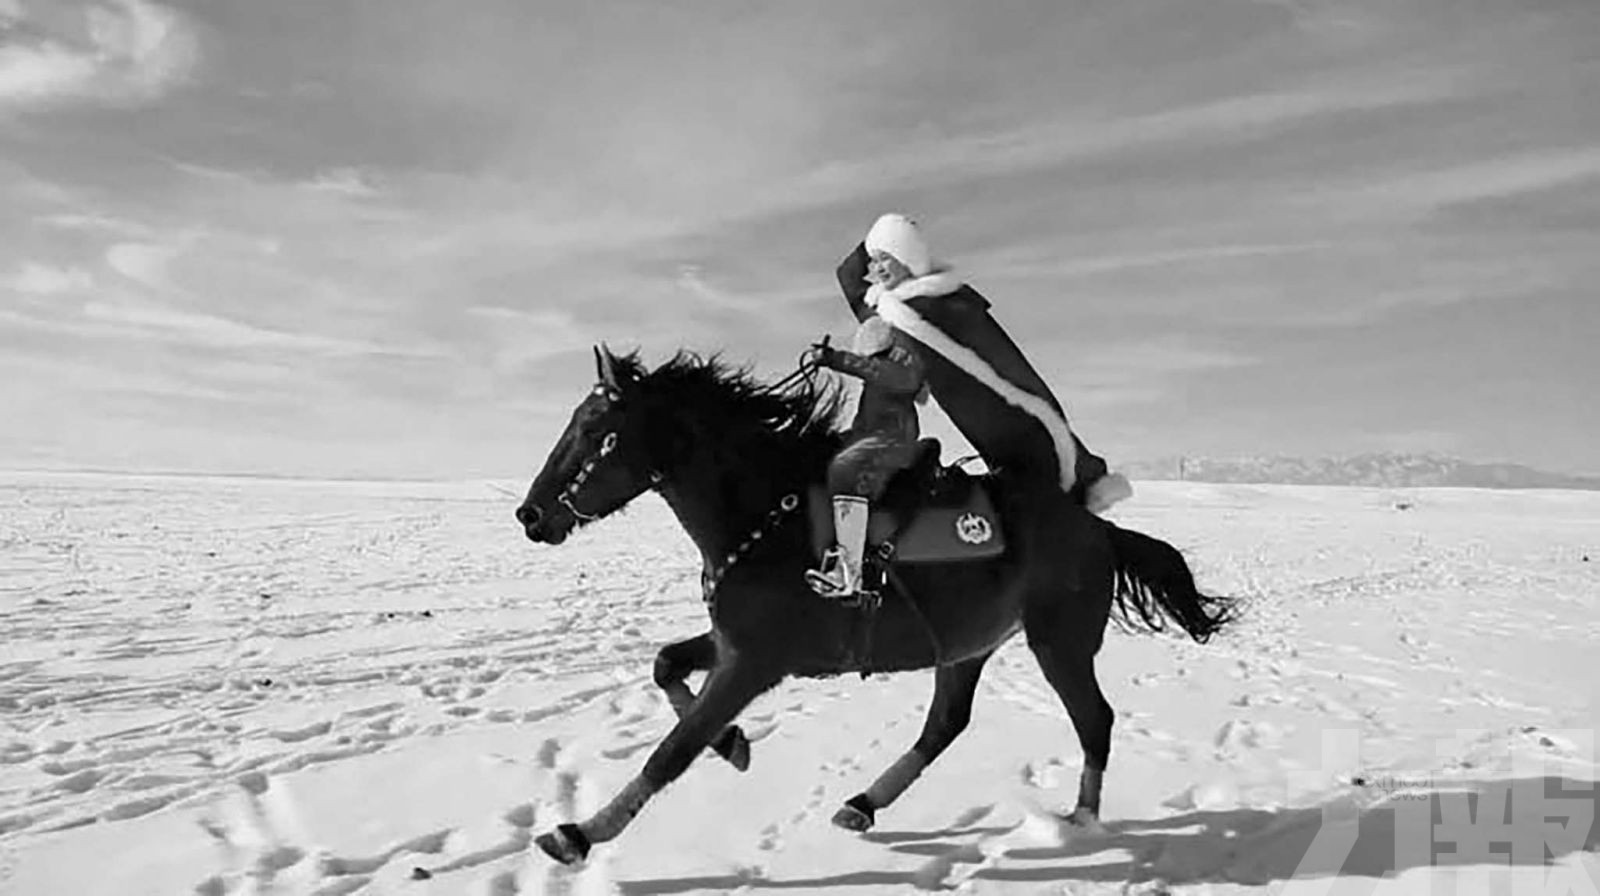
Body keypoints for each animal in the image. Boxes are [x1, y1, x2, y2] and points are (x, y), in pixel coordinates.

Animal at [514, 345, 1234, 866]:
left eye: (594, 428)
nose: (530, 515)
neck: (765, 516)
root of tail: (1099, 528)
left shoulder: (753, 662)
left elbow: (671, 752)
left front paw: (578, 834)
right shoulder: (732, 642)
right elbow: (666, 667)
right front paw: (734, 745)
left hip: (1059, 641)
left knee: (1094, 720)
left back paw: (1081, 821)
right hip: (966, 643)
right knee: (946, 724)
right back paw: (862, 803)